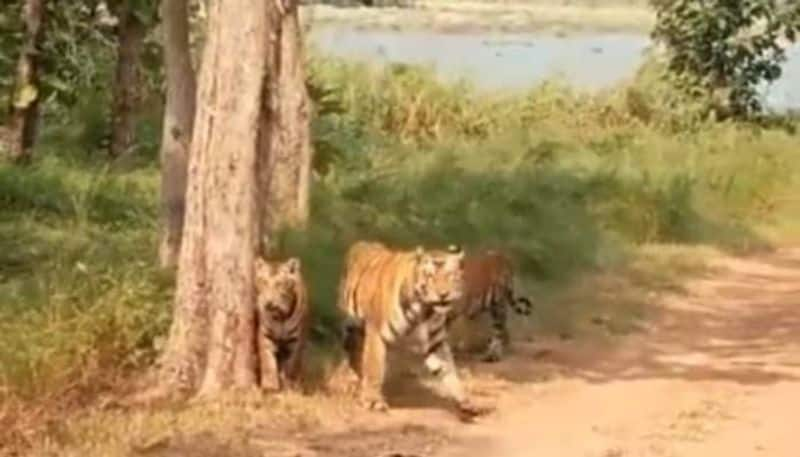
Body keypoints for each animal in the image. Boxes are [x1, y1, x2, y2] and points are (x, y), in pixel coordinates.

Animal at [256, 255, 310, 390]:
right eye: (263, 281)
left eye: (279, 284)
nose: (268, 303)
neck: (280, 316)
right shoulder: (265, 336)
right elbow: (268, 362)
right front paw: (270, 385)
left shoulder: (296, 341)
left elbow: (291, 365)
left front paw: (289, 386)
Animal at [338, 240, 482, 418]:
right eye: (430, 276)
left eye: (450, 276)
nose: (443, 294)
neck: (424, 311)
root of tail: (362, 242)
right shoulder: (376, 334)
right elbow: (374, 368)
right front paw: (373, 400)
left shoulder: (435, 342)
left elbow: (449, 370)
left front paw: (465, 401)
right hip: (352, 324)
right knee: (351, 350)